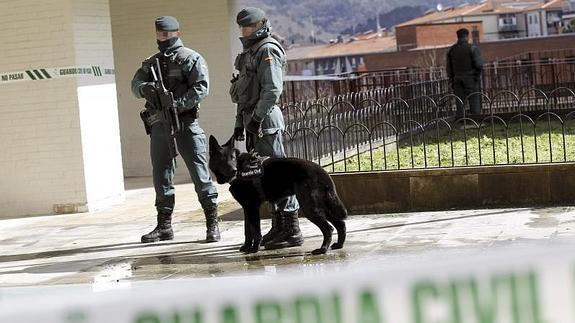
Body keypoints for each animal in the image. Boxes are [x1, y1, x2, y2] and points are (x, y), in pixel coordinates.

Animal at [209, 135, 348, 254]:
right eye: (222, 159)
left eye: (232, 158)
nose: (234, 170)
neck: (241, 167)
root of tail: (322, 172)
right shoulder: (247, 208)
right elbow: (247, 231)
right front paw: (247, 246)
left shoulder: (252, 208)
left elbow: (256, 231)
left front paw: (254, 249)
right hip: (321, 206)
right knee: (340, 224)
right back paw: (339, 245)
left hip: (310, 208)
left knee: (328, 229)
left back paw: (323, 249)